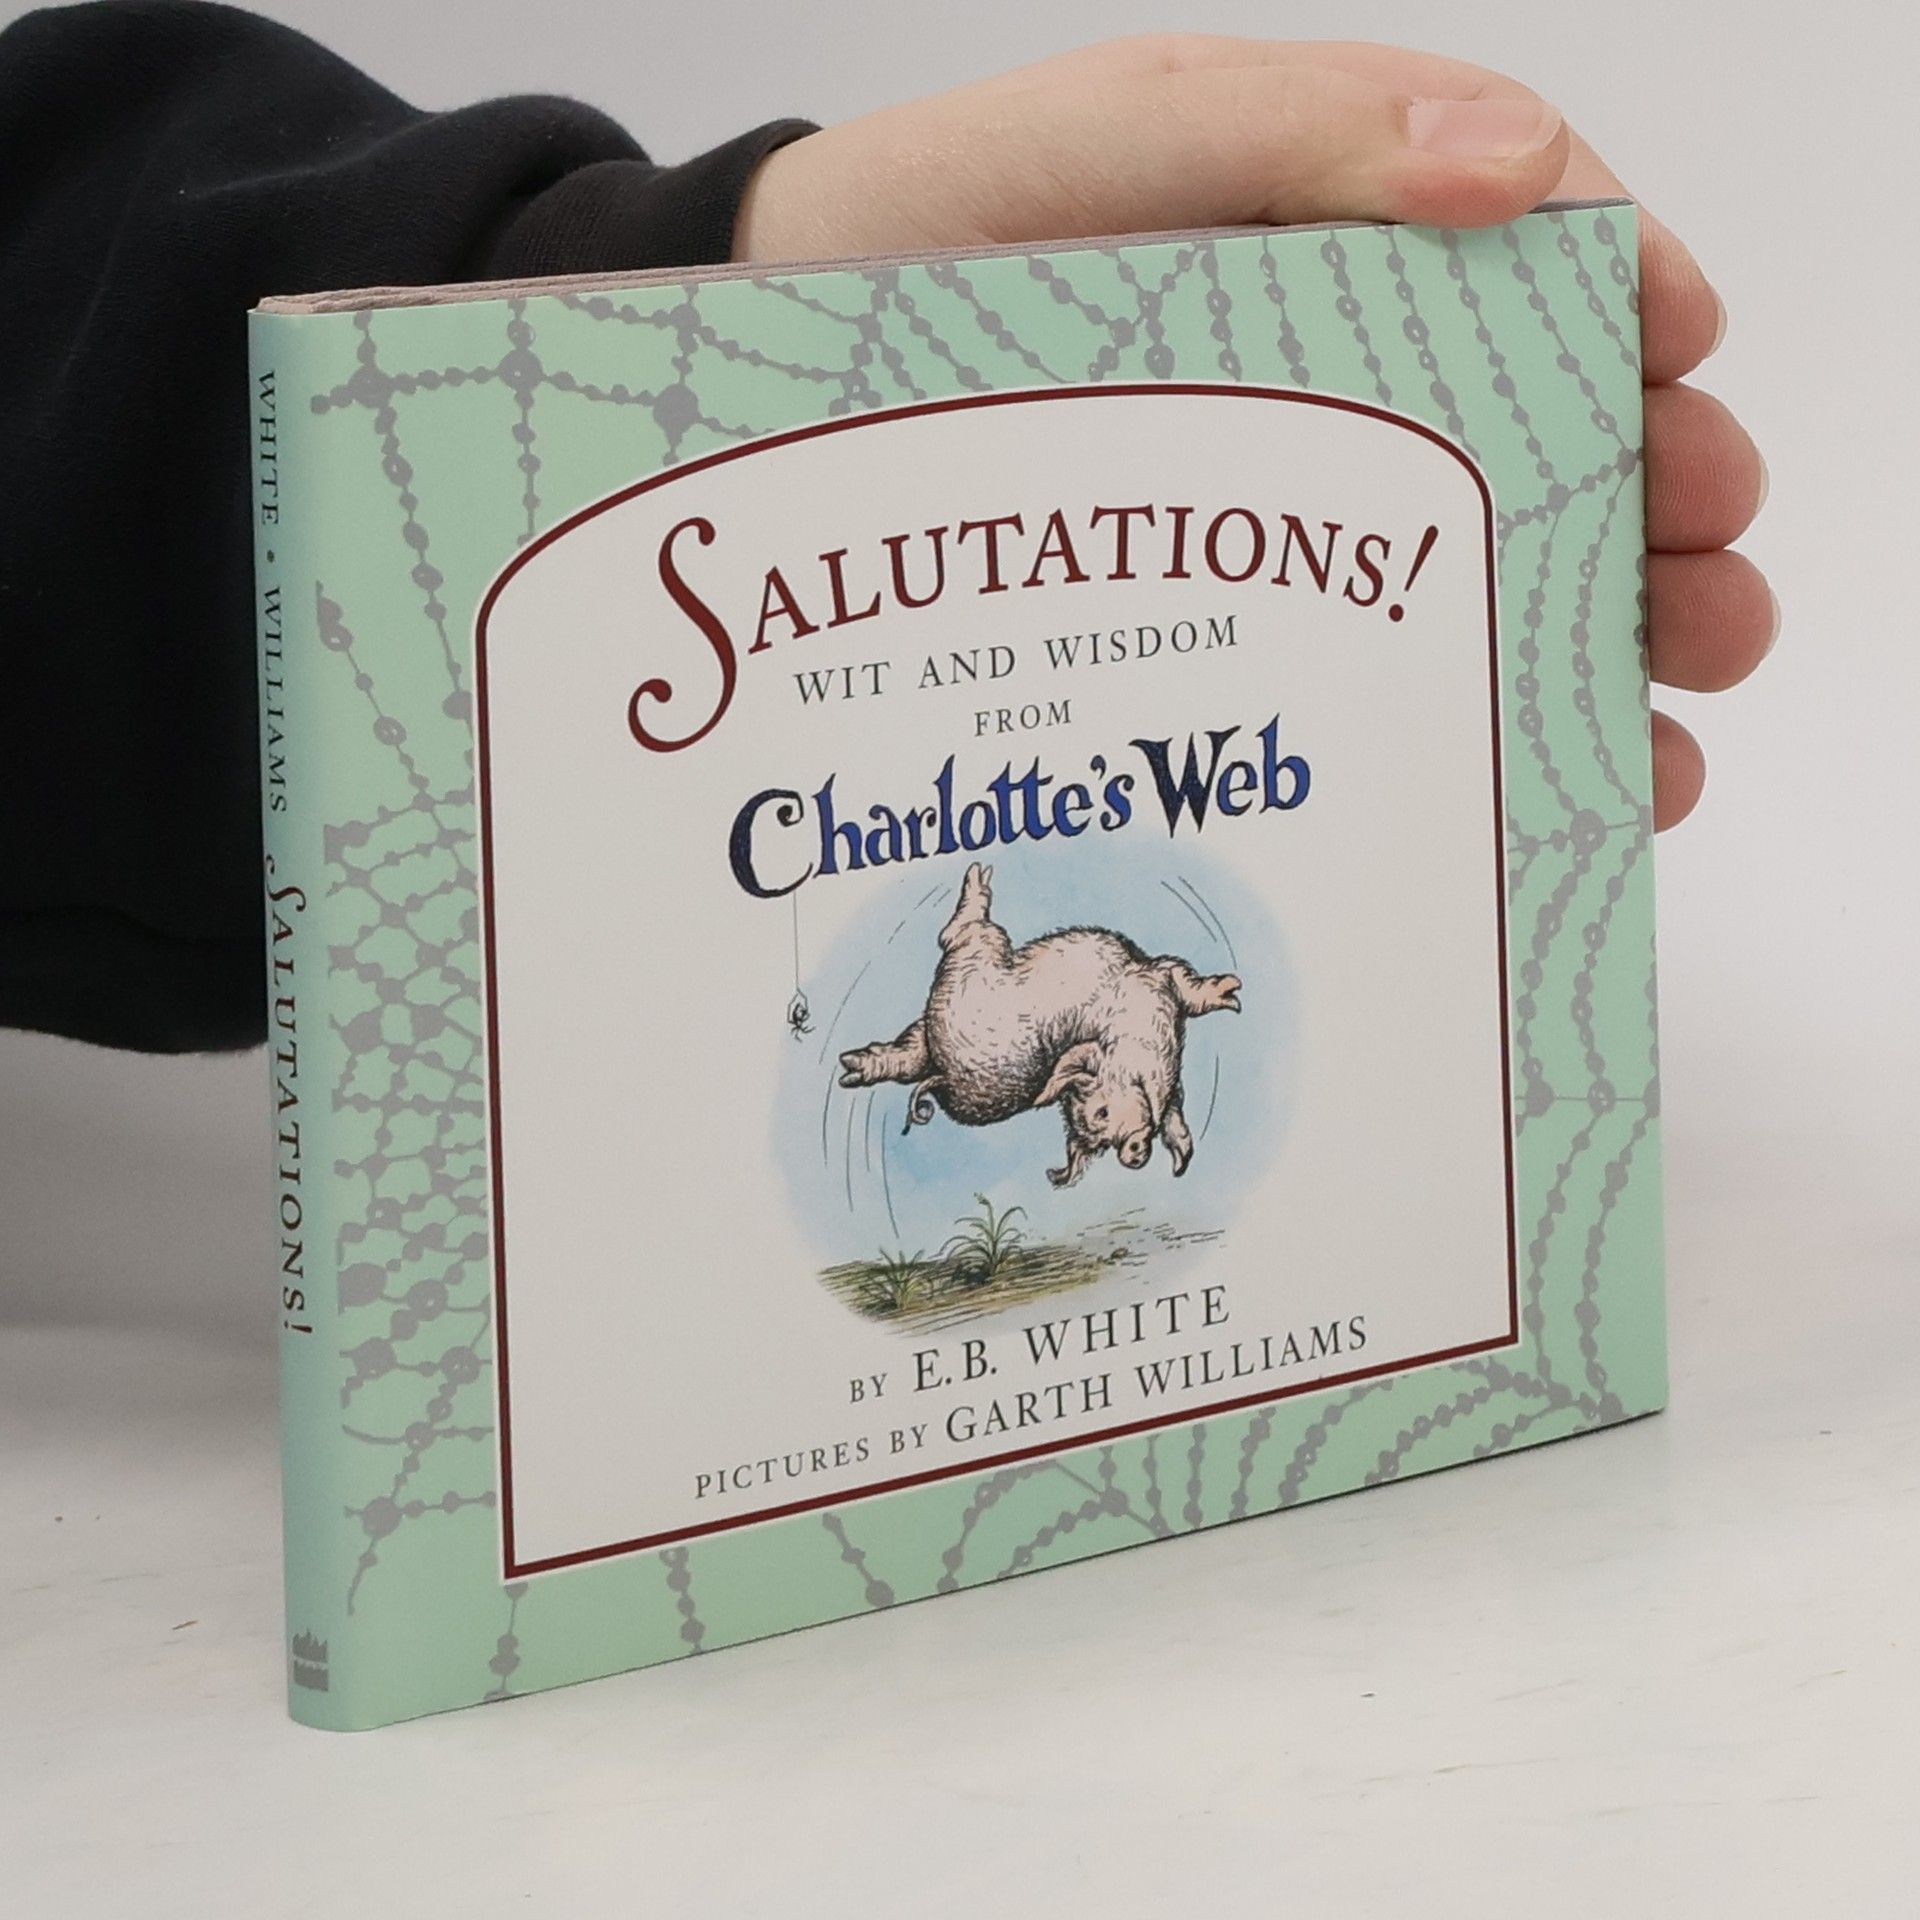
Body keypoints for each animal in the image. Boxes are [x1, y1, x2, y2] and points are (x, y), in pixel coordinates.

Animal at [838, 863, 1241, 1187]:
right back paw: (978, 877)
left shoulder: (1159, 989)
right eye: (1101, 1122)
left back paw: (852, 1069)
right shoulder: (1153, 990)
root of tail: (945, 1076)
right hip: (972, 971)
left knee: (909, 1054)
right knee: (964, 934)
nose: (1131, 1155)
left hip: (935, 1021)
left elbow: (1187, 989)